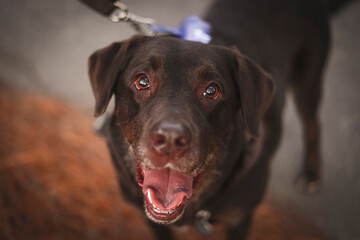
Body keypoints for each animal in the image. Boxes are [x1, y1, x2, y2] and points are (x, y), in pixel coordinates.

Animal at [86, 0, 334, 238]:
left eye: (212, 90)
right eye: (142, 81)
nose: (170, 139)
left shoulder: (240, 219)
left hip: (309, 76)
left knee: (313, 123)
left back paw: (311, 174)